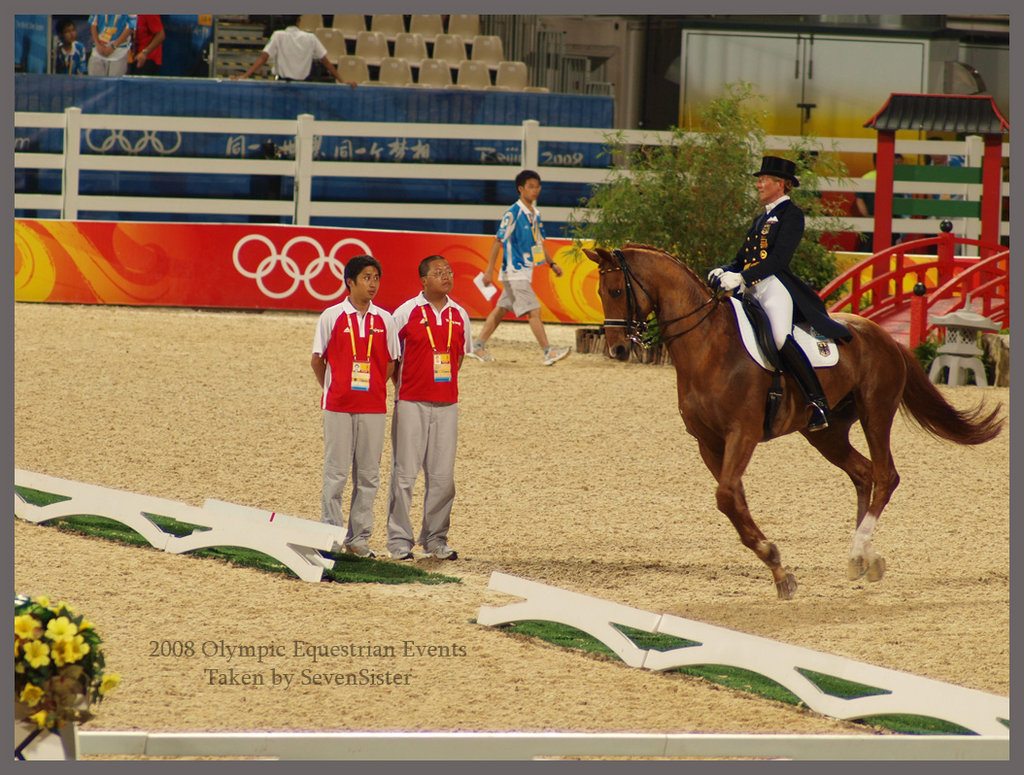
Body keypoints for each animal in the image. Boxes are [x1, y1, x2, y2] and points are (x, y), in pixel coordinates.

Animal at [589, 241, 1003, 597]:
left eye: (616, 291)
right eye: (600, 292)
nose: (617, 349)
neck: (709, 346)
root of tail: (884, 336)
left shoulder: (742, 433)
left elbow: (726, 496)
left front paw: (775, 561)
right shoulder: (708, 443)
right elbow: (734, 501)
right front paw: (779, 572)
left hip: (876, 412)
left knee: (886, 476)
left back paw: (861, 549)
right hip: (825, 433)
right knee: (863, 473)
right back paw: (861, 556)